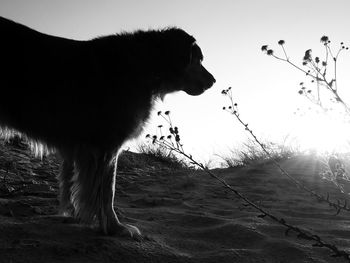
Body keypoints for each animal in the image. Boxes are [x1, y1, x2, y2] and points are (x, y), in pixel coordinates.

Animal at [0, 17, 216, 239]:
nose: (213, 81)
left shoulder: (80, 148)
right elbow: (106, 191)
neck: (142, 64)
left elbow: (71, 183)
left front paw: (75, 213)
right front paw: (114, 227)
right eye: (198, 60)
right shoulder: (105, 146)